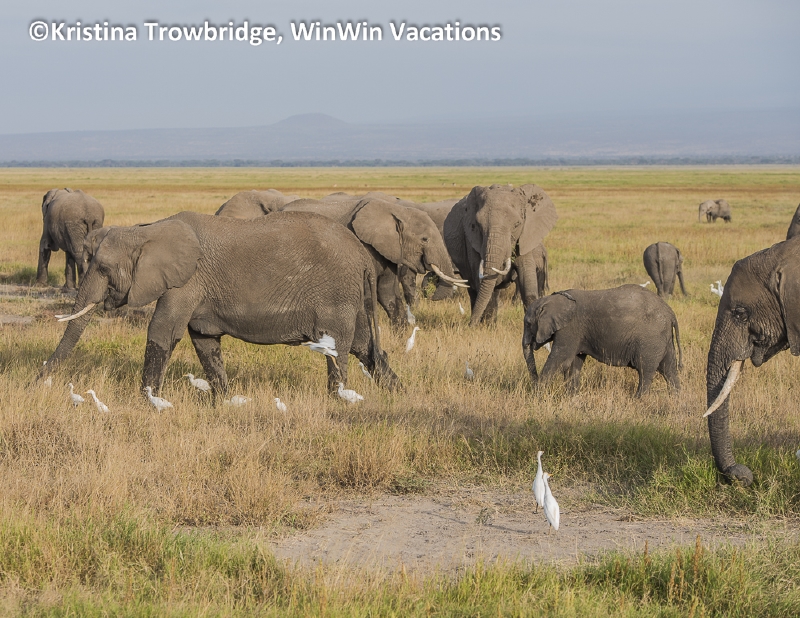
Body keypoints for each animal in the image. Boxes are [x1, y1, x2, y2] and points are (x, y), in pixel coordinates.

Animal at [41, 211, 401, 396]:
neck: (145, 230)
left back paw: (337, 401)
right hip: (349, 296)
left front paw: (146, 402)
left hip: (336, 295)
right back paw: (396, 392)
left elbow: (162, 331)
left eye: (103, 268)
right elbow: (204, 341)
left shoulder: (187, 280)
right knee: (363, 346)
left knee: (338, 347)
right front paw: (224, 400)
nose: (38, 381)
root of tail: (362, 256)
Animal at [443, 184, 558, 326]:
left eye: (517, 225)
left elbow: (527, 280)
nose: (469, 325)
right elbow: (483, 282)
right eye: (477, 226)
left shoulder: (525, 236)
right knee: (475, 289)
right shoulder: (471, 241)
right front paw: (485, 327)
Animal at [522, 285, 682, 396]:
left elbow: (560, 358)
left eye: (528, 324)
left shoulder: (570, 328)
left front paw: (536, 396)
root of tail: (671, 313)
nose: (533, 384)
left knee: (645, 371)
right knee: (669, 369)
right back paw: (676, 399)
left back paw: (638, 399)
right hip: (663, 338)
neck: (553, 299)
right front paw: (572, 397)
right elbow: (575, 362)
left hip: (650, 339)